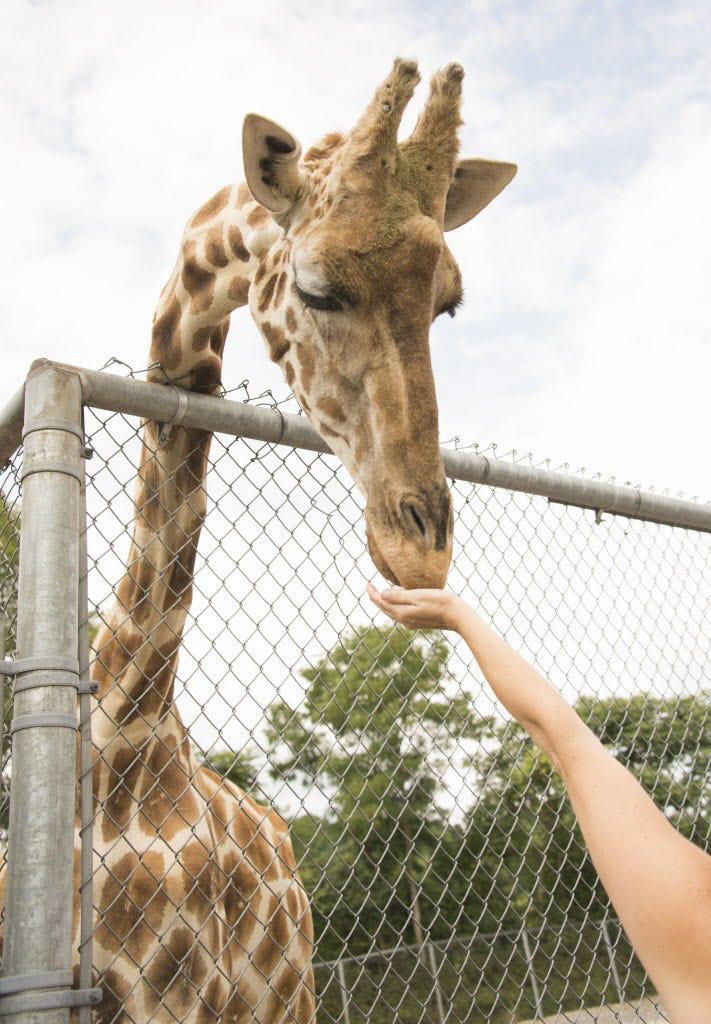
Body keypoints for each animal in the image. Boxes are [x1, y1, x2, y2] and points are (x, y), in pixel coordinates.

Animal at [1, 60, 516, 1022]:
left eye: (449, 304)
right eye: (314, 289)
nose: (419, 550)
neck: (123, 745)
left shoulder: (185, 1004)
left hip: (296, 998)